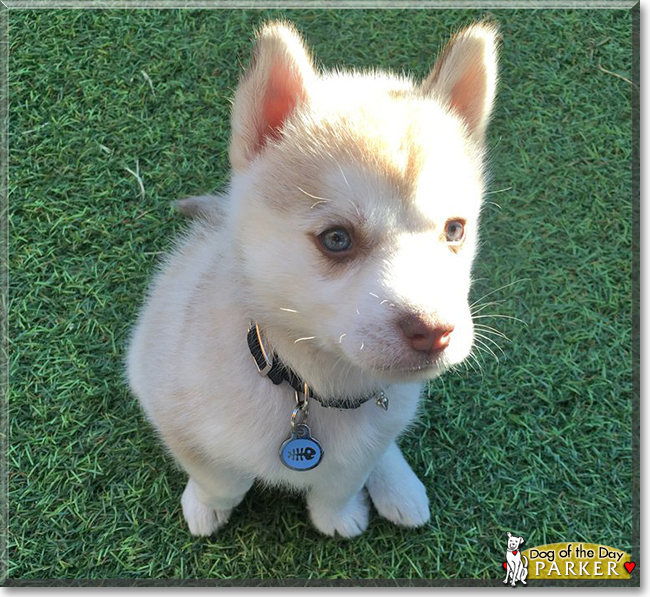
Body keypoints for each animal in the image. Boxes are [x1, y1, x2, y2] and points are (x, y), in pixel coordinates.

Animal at [128, 21, 502, 536]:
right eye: (337, 239)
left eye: (454, 230)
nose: (435, 332)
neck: (308, 388)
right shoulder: (171, 410)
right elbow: (219, 479)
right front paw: (207, 505)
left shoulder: (362, 440)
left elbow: (342, 480)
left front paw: (337, 515)